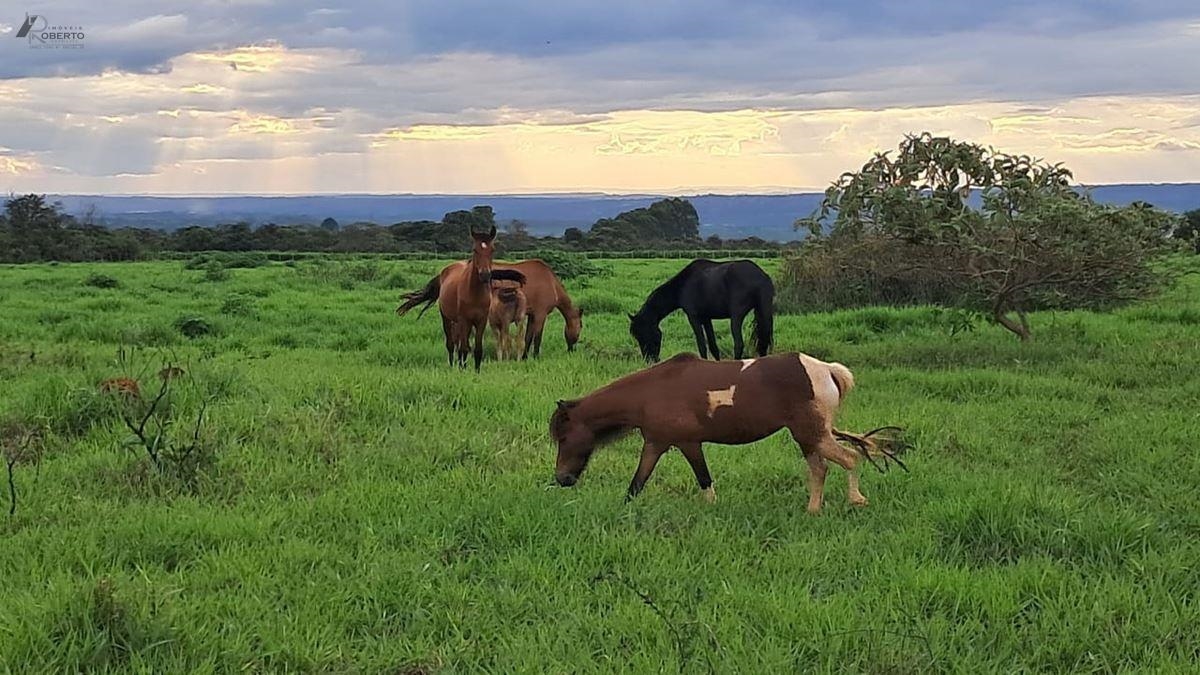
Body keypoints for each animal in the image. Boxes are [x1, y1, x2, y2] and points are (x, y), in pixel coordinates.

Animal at [396, 227, 523, 372]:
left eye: (492, 249)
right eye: (475, 249)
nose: (485, 275)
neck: (474, 293)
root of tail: (443, 274)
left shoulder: (481, 321)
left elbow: (477, 349)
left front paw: (476, 371)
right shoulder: (463, 320)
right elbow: (463, 348)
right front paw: (462, 369)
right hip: (448, 319)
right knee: (451, 345)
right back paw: (453, 365)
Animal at [549, 353, 902, 509]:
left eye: (564, 437)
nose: (561, 479)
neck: (652, 392)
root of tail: (826, 370)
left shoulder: (688, 443)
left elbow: (704, 479)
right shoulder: (656, 443)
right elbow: (636, 484)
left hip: (812, 435)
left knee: (849, 458)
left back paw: (855, 499)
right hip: (809, 437)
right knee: (821, 468)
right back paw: (813, 510)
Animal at [628, 258, 777, 362]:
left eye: (642, 333)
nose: (649, 359)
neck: (683, 285)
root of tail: (761, 276)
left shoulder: (693, 317)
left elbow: (702, 345)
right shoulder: (706, 318)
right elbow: (713, 346)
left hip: (737, 317)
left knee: (739, 344)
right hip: (763, 312)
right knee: (764, 342)